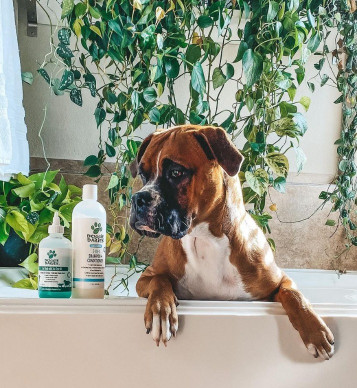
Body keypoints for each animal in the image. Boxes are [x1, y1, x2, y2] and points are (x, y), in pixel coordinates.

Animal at [130, 126, 334, 360]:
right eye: (143, 174)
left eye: (176, 172)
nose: (138, 198)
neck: (203, 239)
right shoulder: (146, 278)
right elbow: (160, 280)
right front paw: (160, 311)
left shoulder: (280, 281)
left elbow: (294, 295)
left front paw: (315, 332)